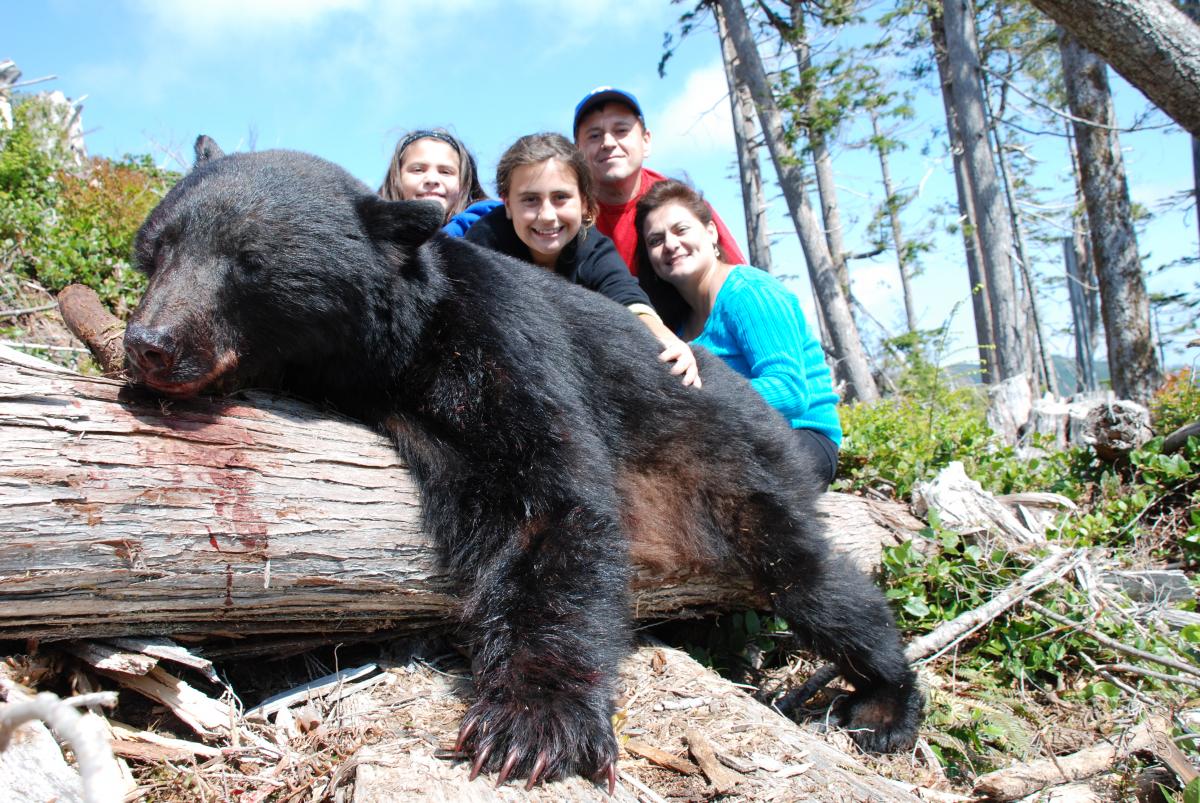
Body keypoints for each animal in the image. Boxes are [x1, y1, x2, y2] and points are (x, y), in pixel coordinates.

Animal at [123, 136, 923, 791]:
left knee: (816, 582)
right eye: (156, 247)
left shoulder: (501, 337)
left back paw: (884, 702)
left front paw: (535, 722)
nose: (150, 343)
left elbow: (551, 500)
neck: (401, 343)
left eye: (249, 263)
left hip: (739, 471)